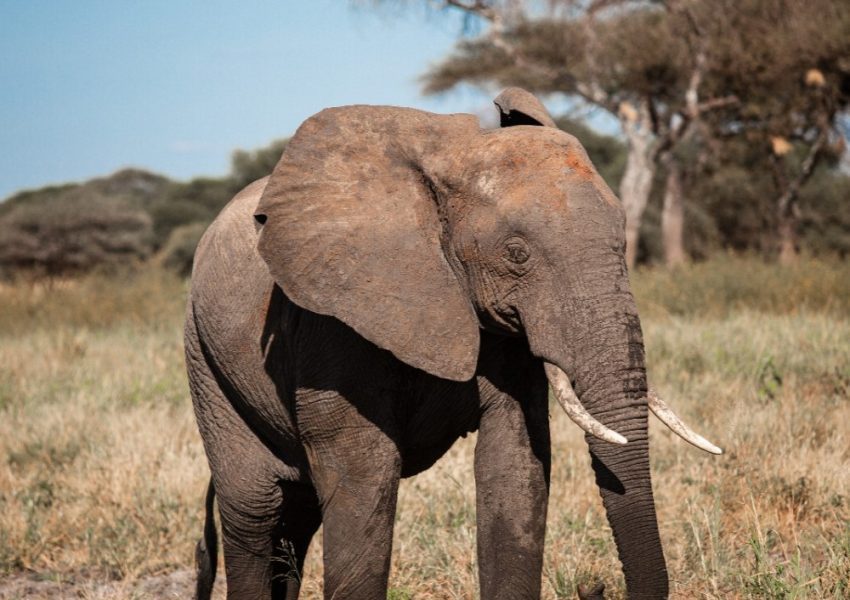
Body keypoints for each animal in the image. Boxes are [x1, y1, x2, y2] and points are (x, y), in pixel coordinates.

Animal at [184, 85, 716, 600]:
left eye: (623, 243)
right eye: (517, 255)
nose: (593, 585)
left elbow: (515, 466)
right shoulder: (331, 323)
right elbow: (364, 478)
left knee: (296, 518)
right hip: (205, 360)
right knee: (254, 510)